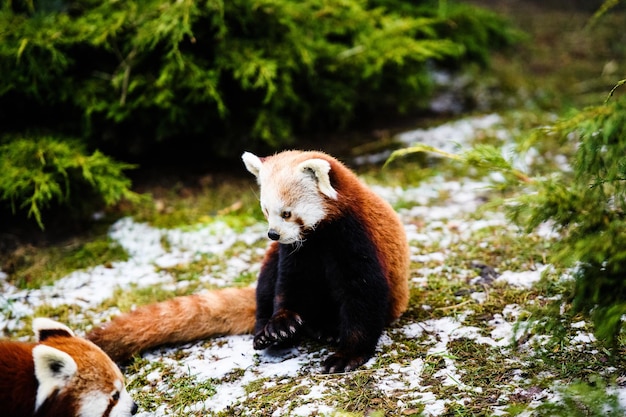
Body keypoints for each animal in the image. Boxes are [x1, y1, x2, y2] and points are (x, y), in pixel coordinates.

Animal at [89, 150, 410, 374]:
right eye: (266, 211)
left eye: (286, 213)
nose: (273, 234)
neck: (319, 237)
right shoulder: (296, 253)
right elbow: (289, 284)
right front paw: (281, 325)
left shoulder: (355, 239)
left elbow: (363, 296)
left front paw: (347, 355)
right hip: (269, 262)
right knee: (266, 284)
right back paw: (269, 335)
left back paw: (327, 329)